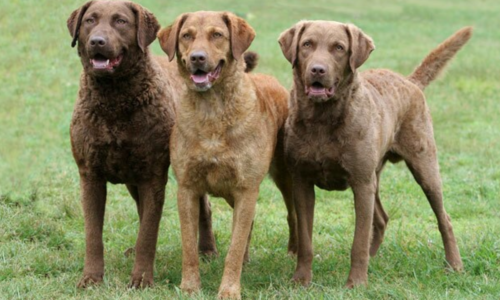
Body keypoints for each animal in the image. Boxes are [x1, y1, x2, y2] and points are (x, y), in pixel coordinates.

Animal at [66, 1, 215, 290]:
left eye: (120, 21)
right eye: (90, 20)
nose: (97, 41)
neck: (113, 101)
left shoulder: (153, 176)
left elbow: (148, 232)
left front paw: (142, 279)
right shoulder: (90, 175)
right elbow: (93, 234)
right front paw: (91, 278)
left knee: (203, 208)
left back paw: (207, 250)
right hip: (133, 179)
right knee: (142, 211)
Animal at [156, 10, 296, 298]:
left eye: (217, 35)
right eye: (186, 36)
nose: (197, 57)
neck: (212, 111)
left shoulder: (246, 188)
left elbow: (234, 246)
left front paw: (229, 290)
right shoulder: (187, 187)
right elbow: (190, 245)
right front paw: (189, 287)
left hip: (284, 175)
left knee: (292, 214)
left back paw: (294, 251)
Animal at [280, 20, 470, 286]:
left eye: (339, 48)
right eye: (307, 44)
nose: (318, 70)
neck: (322, 120)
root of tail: (409, 81)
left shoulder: (361, 183)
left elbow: (358, 240)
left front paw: (356, 283)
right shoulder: (302, 182)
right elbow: (306, 239)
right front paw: (301, 280)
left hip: (424, 167)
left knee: (444, 218)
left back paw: (455, 265)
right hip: (375, 177)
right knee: (381, 218)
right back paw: (373, 259)